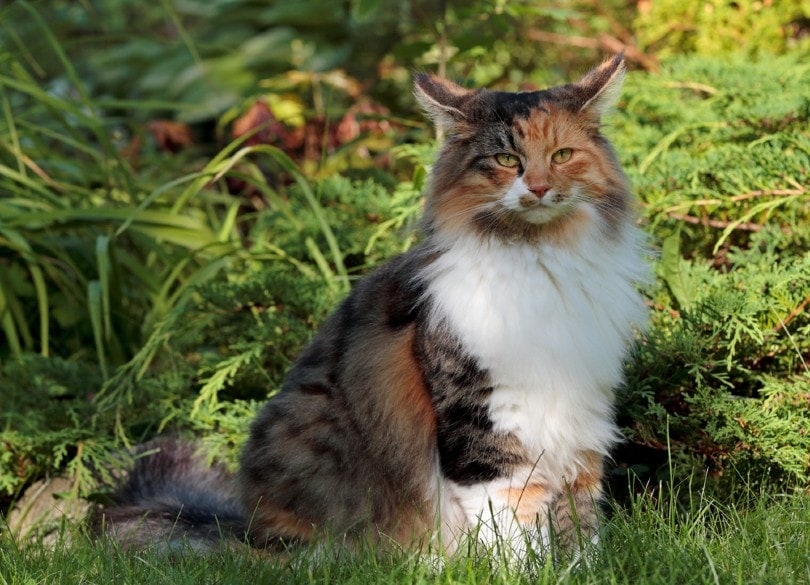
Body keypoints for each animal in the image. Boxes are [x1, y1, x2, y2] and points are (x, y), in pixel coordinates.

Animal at [96, 54, 652, 560]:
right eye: (507, 161)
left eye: (561, 155)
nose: (538, 187)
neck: (541, 261)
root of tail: (247, 532)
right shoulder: (484, 423)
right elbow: (516, 527)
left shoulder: (580, 419)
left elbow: (579, 526)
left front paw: (581, 570)